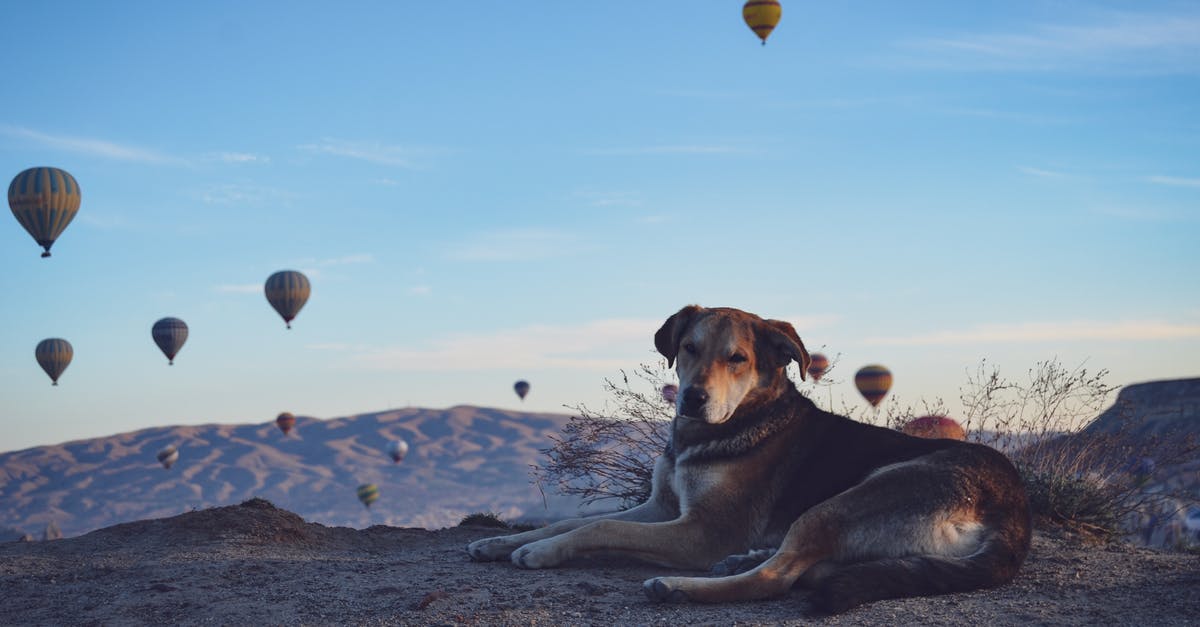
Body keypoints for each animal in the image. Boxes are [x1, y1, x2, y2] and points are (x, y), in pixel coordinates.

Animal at [468, 305, 1032, 612]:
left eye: (737, 358)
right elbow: (568, 523)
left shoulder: (701, 530)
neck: (716, 431)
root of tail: (1014, 513)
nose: (691, 398)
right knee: (806, 567)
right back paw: (744, 558)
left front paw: (541, 553)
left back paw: (679, 587)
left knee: (778, 578)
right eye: (688, 347)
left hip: (865, 491)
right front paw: (502, 541)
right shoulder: (660, 507)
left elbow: (598, 528)